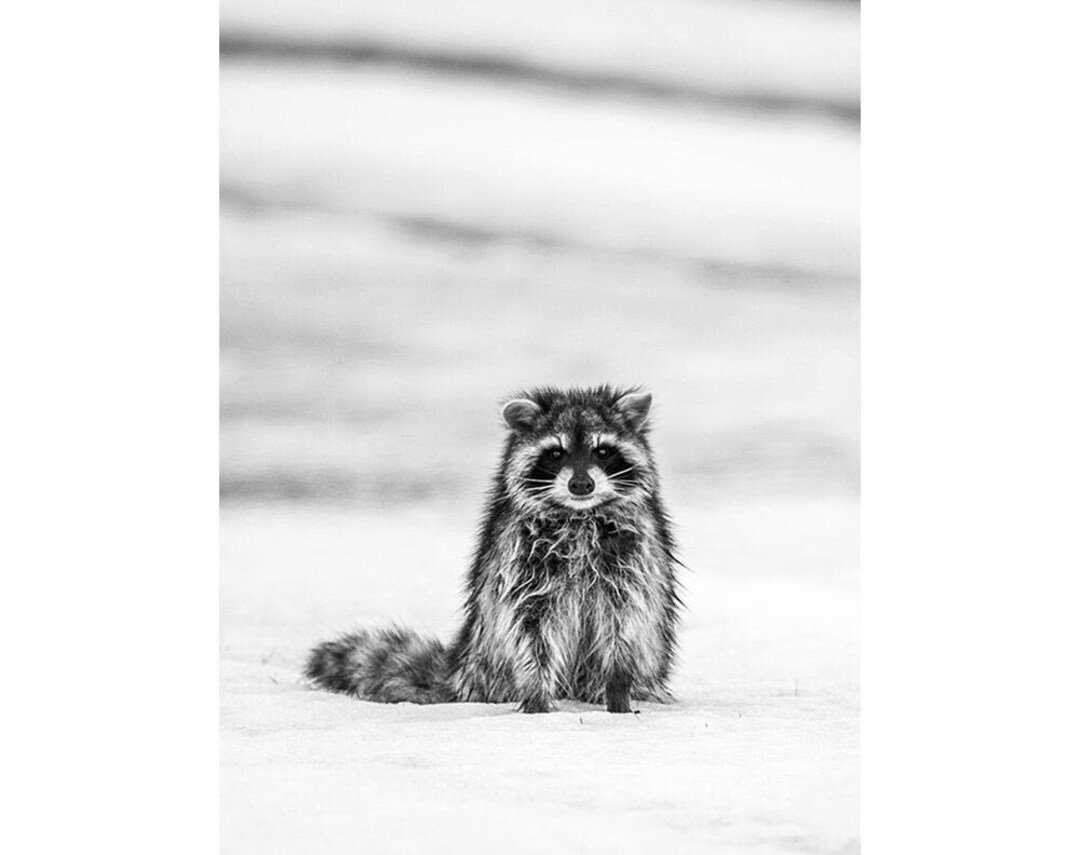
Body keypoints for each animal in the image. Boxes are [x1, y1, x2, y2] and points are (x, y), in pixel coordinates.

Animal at [305, 386, 681, 713]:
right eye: (556, 453)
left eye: (602, 450)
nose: (581, 484)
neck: (578, 514)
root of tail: (465, 665)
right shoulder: (522, 564)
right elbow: (530, 632)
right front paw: (536, 695)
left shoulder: (631, 563)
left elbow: (625, 625)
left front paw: (617, 688)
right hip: (492, 652)